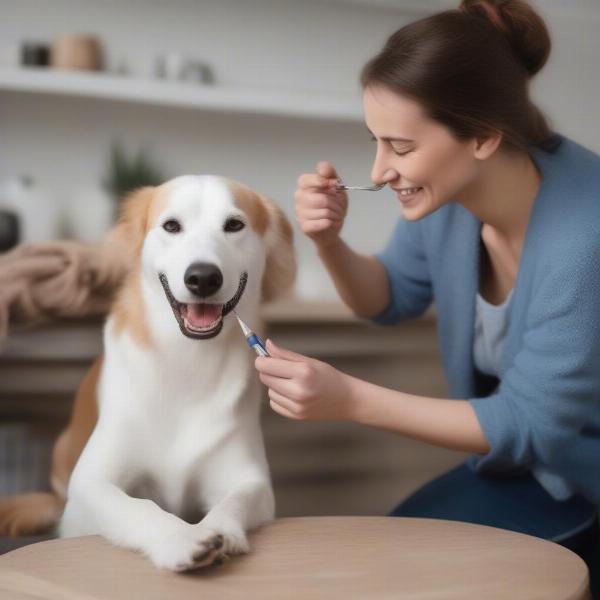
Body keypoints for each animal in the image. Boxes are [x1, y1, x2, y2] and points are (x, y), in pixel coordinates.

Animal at [0, 175, 296, 572]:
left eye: (234, 225)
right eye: (171, 226)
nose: (203, 277)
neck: (187, 360)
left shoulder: (251, 481)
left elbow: (232, 502)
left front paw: (221, 532)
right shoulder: (89, 486)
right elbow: (138, 507)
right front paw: (181, 539)